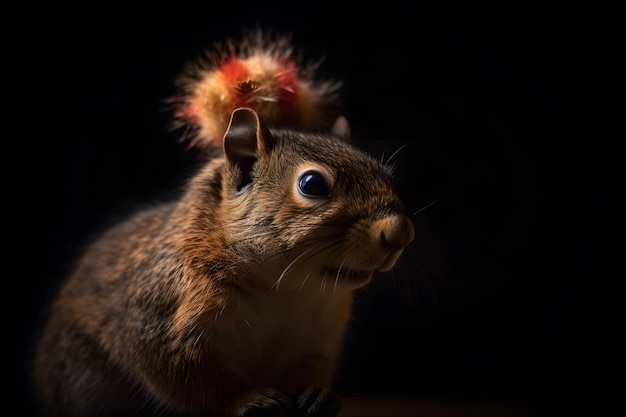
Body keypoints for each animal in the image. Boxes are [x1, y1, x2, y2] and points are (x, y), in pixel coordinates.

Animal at [30, 29, 414, 416]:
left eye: (385, 175)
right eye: (312, 184)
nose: (400, 234)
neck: (285, 289)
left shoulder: (318, 338)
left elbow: (307, 370)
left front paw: (317, 394)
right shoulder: (160, 322)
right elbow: (193, 381)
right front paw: (250, 399)